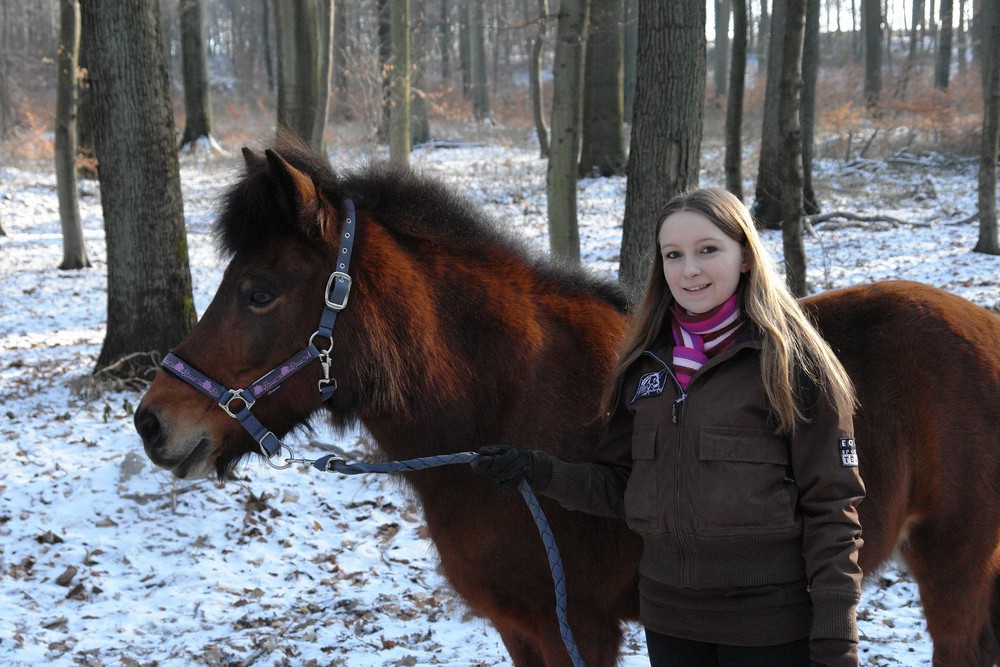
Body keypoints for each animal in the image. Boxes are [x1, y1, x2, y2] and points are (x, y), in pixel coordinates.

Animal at [135, 138, 1000, 664]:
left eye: (259, 291)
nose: (152, 422)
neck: (505, 400)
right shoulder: (523, 627)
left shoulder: (578, 623)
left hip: (955, 562)